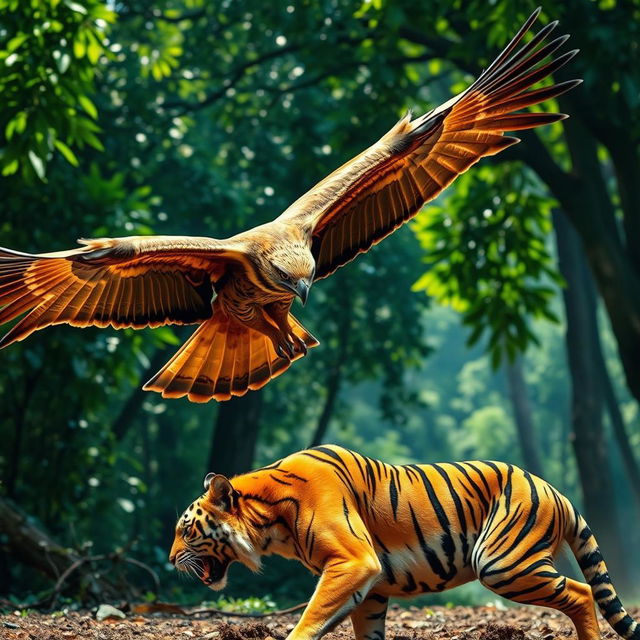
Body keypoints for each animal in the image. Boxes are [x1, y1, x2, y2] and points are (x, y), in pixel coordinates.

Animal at [170, 444, 640, 640]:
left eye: (186, 530)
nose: (172, 560)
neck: (270, 520)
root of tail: (555, 491)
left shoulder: (353, 561)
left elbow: (310, 618)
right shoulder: (371, 587)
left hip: (502, 562)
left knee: (581, 592)